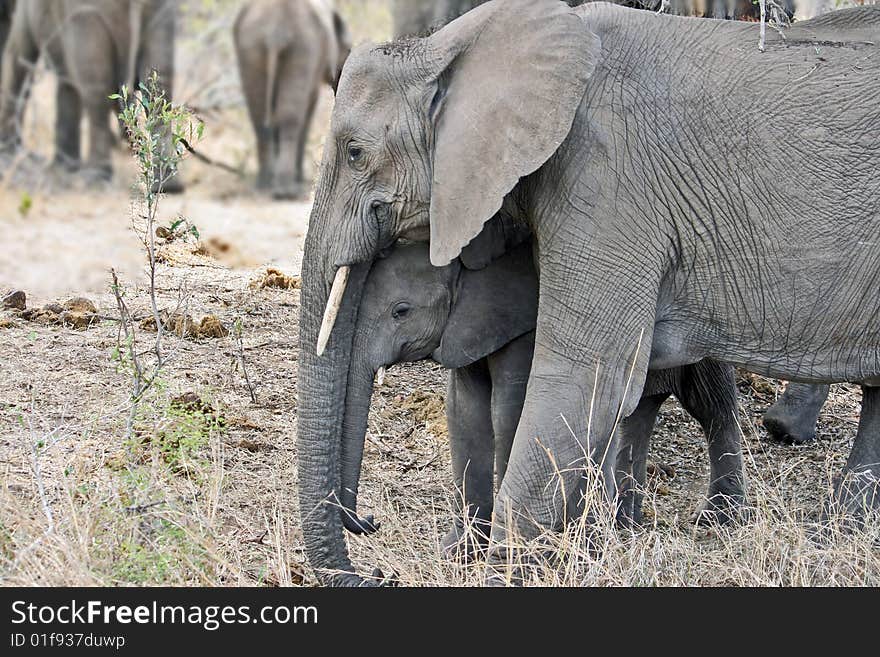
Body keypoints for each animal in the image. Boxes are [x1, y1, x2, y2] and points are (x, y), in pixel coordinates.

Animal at [0, 0, 182, 190]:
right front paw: (64, 167)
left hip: (87, 15)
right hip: (160, 11)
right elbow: (67, 83)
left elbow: (18, 55)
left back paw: (94, 177)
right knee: (160, 85)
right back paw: (168, 185)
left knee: (96, 90)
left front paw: (8, 151)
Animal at [237, 0, 354, 200]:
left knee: (258, 115)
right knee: (290, 117)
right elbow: (308, 106)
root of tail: (275, 30)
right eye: (348, 50)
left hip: (251, 46)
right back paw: (286, 190)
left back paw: (264, 184)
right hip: (303, 48)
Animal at [298, 0, 880, 584]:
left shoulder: (607, 183)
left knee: (711, 404)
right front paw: (464, 554)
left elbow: (578, 383)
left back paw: (728, 520)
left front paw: (506, 571)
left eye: (354, 153)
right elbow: (468, 410)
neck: (453, 44)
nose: (367, 531)